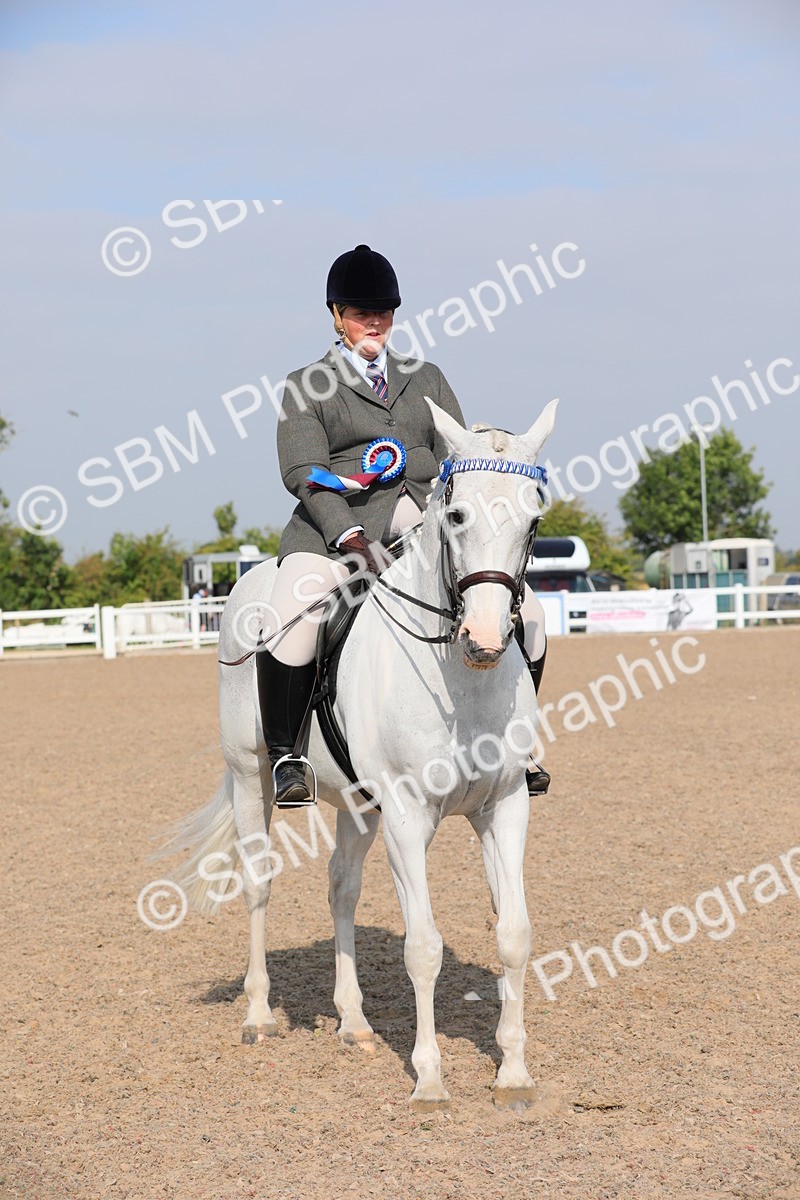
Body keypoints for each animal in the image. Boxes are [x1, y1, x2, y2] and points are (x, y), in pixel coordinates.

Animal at [162, 397, 558, 1104]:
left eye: (532, 515)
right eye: (456, 516)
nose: (485, 637)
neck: (460, 679)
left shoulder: (505, 806)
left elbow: (514, 934)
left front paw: (513, 1073)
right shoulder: (406, 814)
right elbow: (423, 946)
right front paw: (429, 1080)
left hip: (356, 802)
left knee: (341, 889)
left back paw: (353, 1022)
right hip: (250, 778)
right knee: (258, 883)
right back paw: (258, 1015)